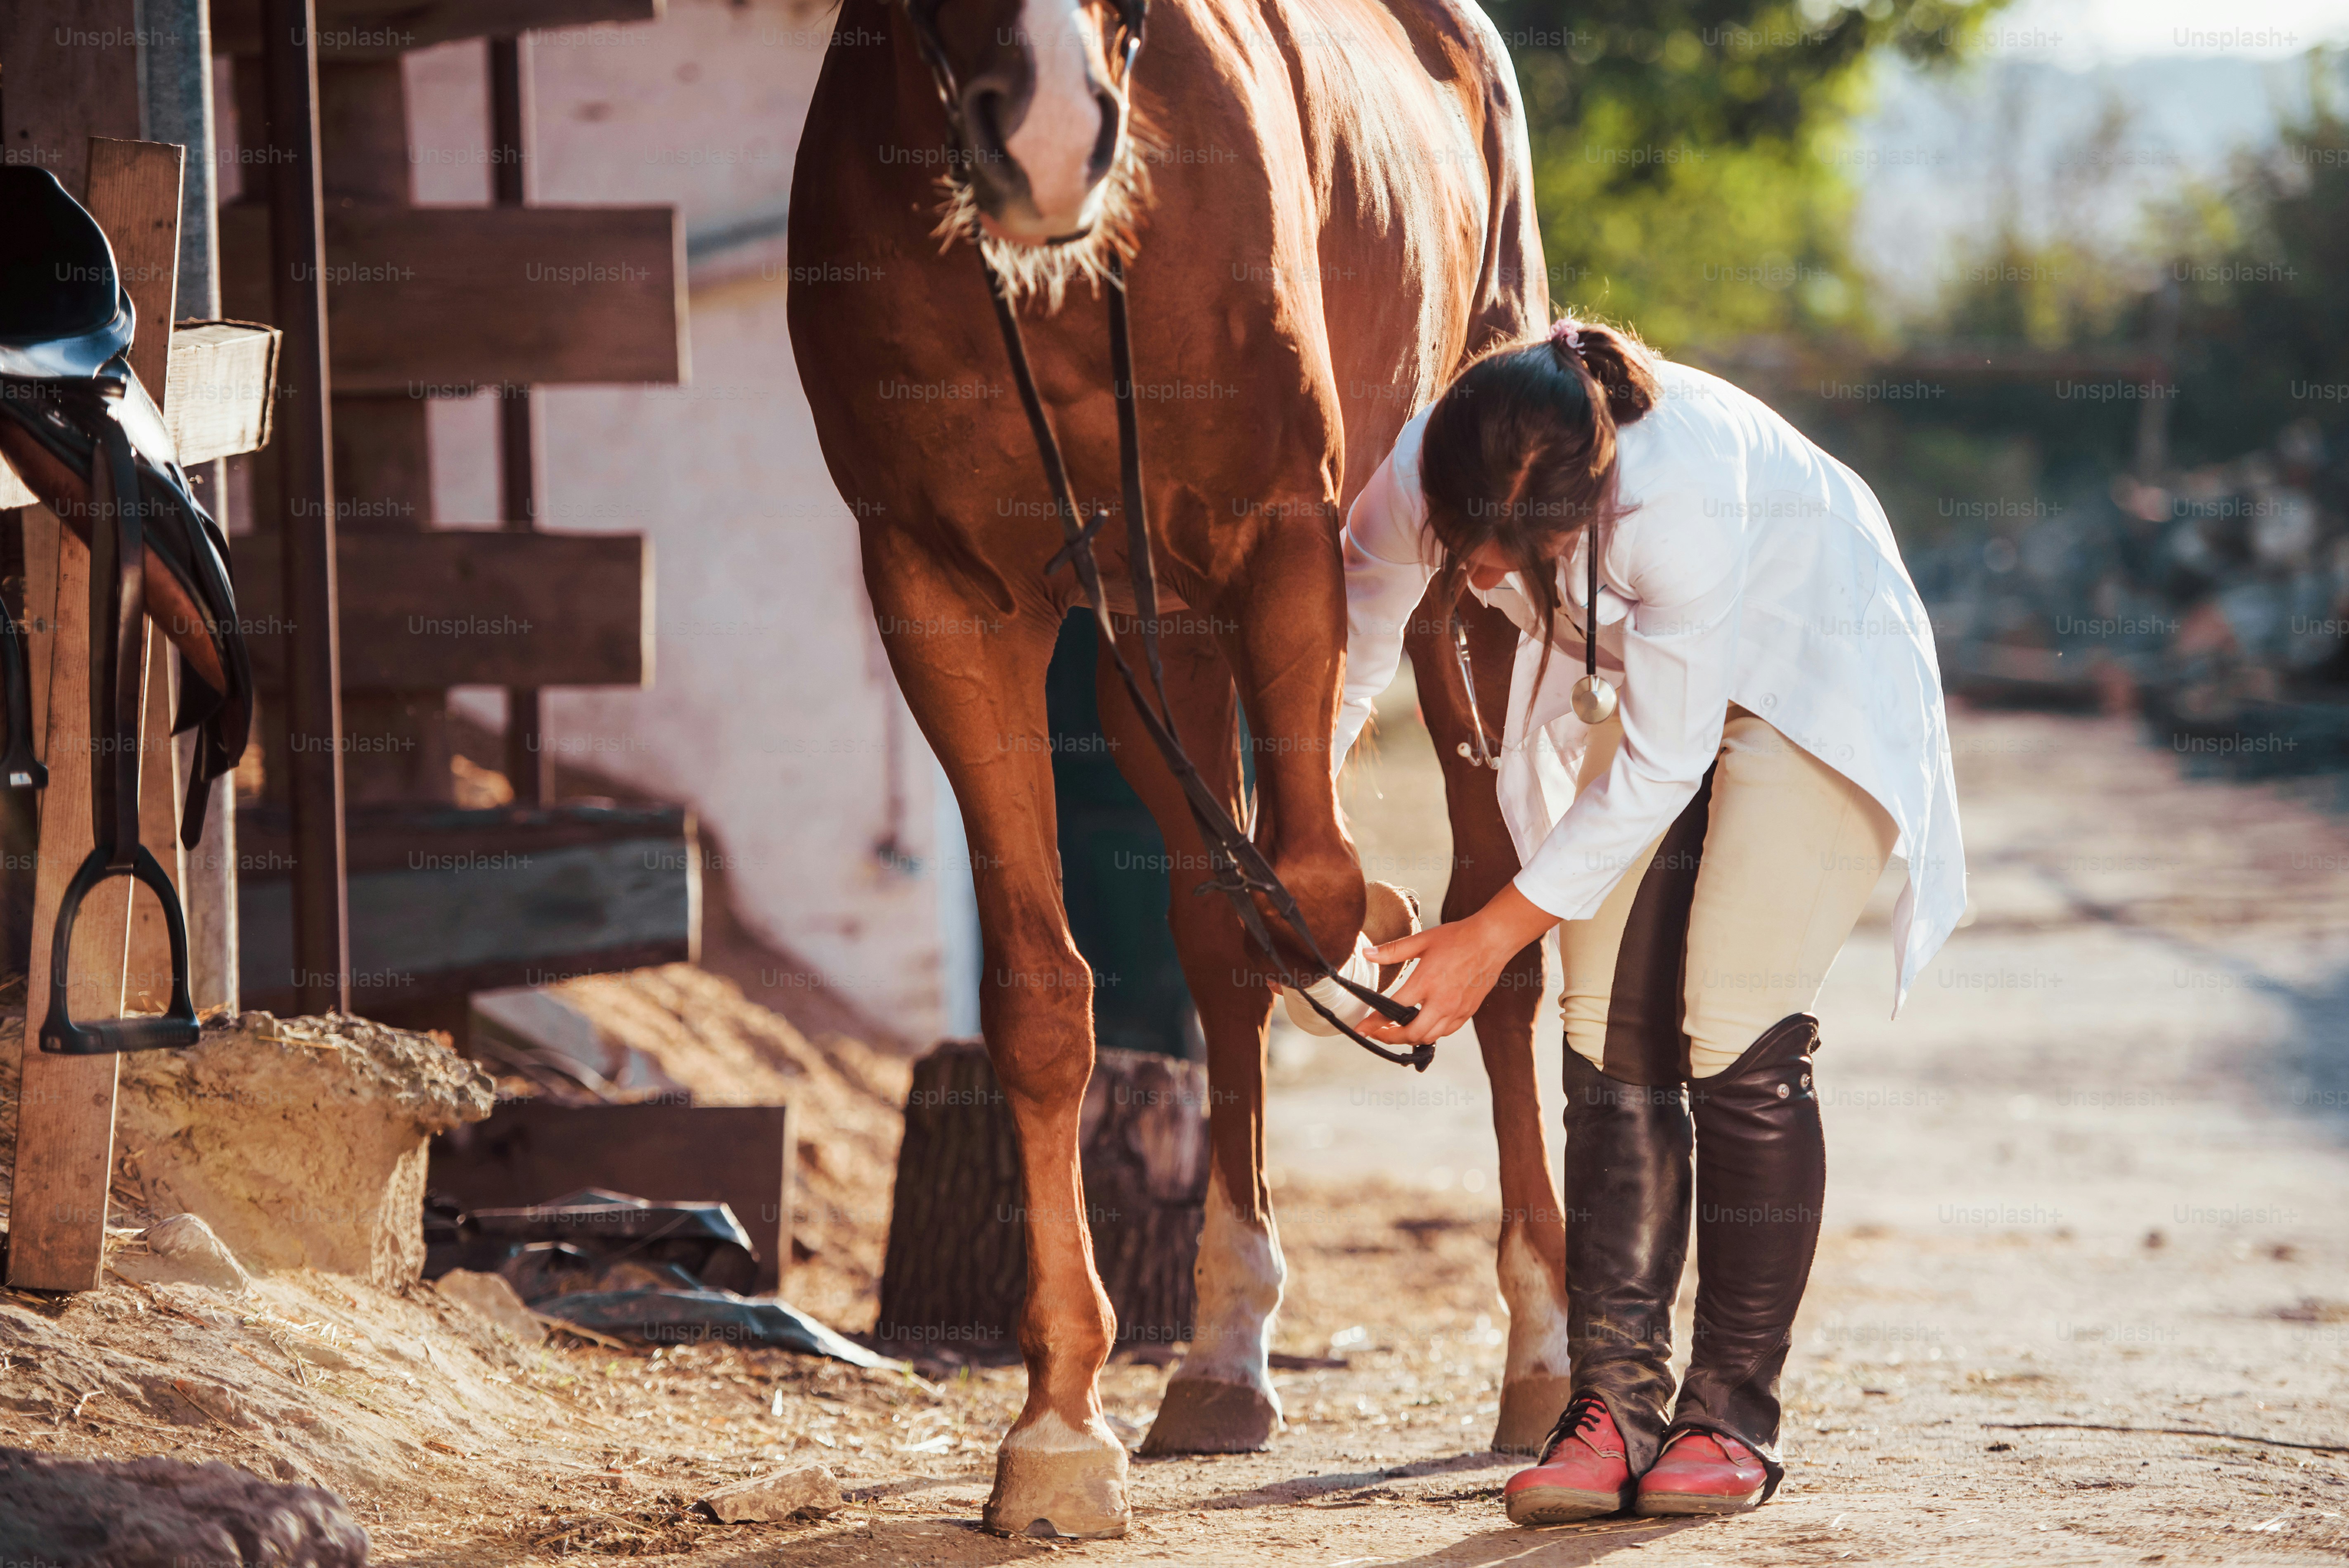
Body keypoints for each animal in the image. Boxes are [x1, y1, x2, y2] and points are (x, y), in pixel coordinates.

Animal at [788, 0, 1568, 1535]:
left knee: (1489, 927)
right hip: (1157, 640)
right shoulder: (949, 594)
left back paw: (1540, 1348)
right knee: (1220, 941)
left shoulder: (1276, 533)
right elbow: (1051, 994)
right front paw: (1055, 1426)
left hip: (1461, 582)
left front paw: (1371, 930)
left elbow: (1314, 883)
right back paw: (1219, 1362)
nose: (1045, 134)